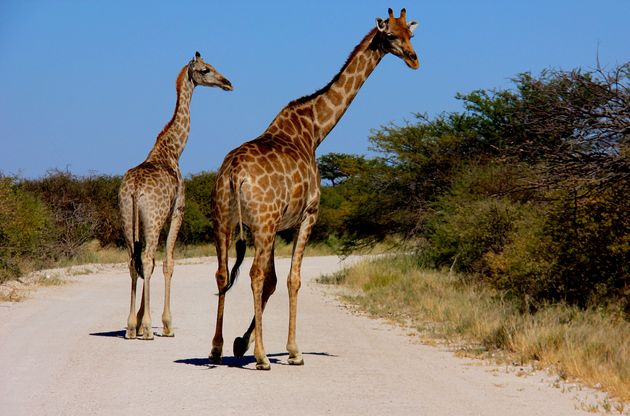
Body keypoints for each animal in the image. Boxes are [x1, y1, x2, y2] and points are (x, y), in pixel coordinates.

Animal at [119, 52, 233, 340]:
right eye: (205, 70)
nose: (227, 83)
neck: (172, 150)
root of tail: (134, 190)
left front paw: (139, 321)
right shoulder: (177, 211)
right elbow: (169, 262)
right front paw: (166, 324)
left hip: (127, 217)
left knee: (133, 261)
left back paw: (130, 327)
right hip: (153, 218)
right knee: (147, 259)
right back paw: (148, 328)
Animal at [211, 8, 420, 368]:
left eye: (412, 33)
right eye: (391, 35)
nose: (414, 59)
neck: (314, 131)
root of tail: (235, 173)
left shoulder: (280, 225)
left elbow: (274, 282)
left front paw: (239, 342)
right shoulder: (307, 215)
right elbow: (291, 279)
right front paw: (293, 351)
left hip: (224, 220)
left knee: (224, 274)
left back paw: (216, 346)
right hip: (261, 223)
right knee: (252, 274)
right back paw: (263, 356)